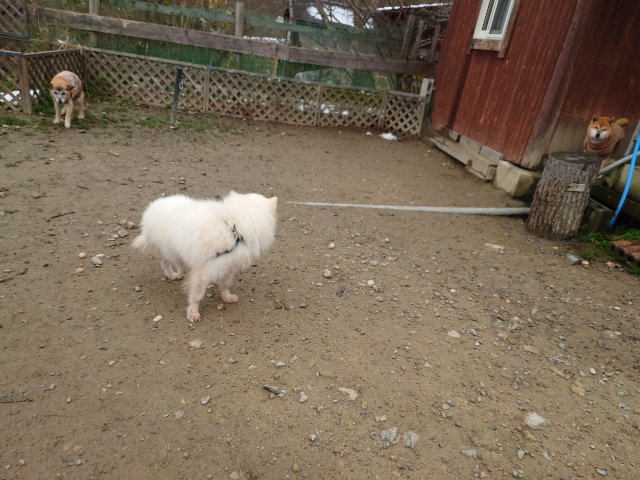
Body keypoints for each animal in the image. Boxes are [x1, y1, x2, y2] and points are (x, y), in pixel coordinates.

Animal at [132, 191, 278, 322]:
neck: (235, 229)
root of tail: (152, 208)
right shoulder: (203, 271)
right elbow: (197, 295)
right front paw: (192, 313)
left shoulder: (228, 267)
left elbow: (224, 285)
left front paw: (227, 297)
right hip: (170, 249)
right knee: (167, 262)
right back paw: (173, 274)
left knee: (172, 262)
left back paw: (177, 273)